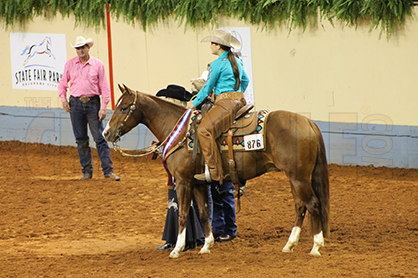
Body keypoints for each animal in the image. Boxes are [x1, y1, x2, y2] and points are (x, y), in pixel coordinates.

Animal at [102, 84, 330, 258]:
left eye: (123, 108)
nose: (106, 133)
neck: (180, 131)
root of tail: (308, 122)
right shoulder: (198, 183)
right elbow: (204, 213)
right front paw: (206, 245)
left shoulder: (183, 181)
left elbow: (183, 213)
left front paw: (177, 249)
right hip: (296, 179)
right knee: (300, 206)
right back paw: (289, 245)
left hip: (299, 178)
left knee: (313, 204)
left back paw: (316, 246)